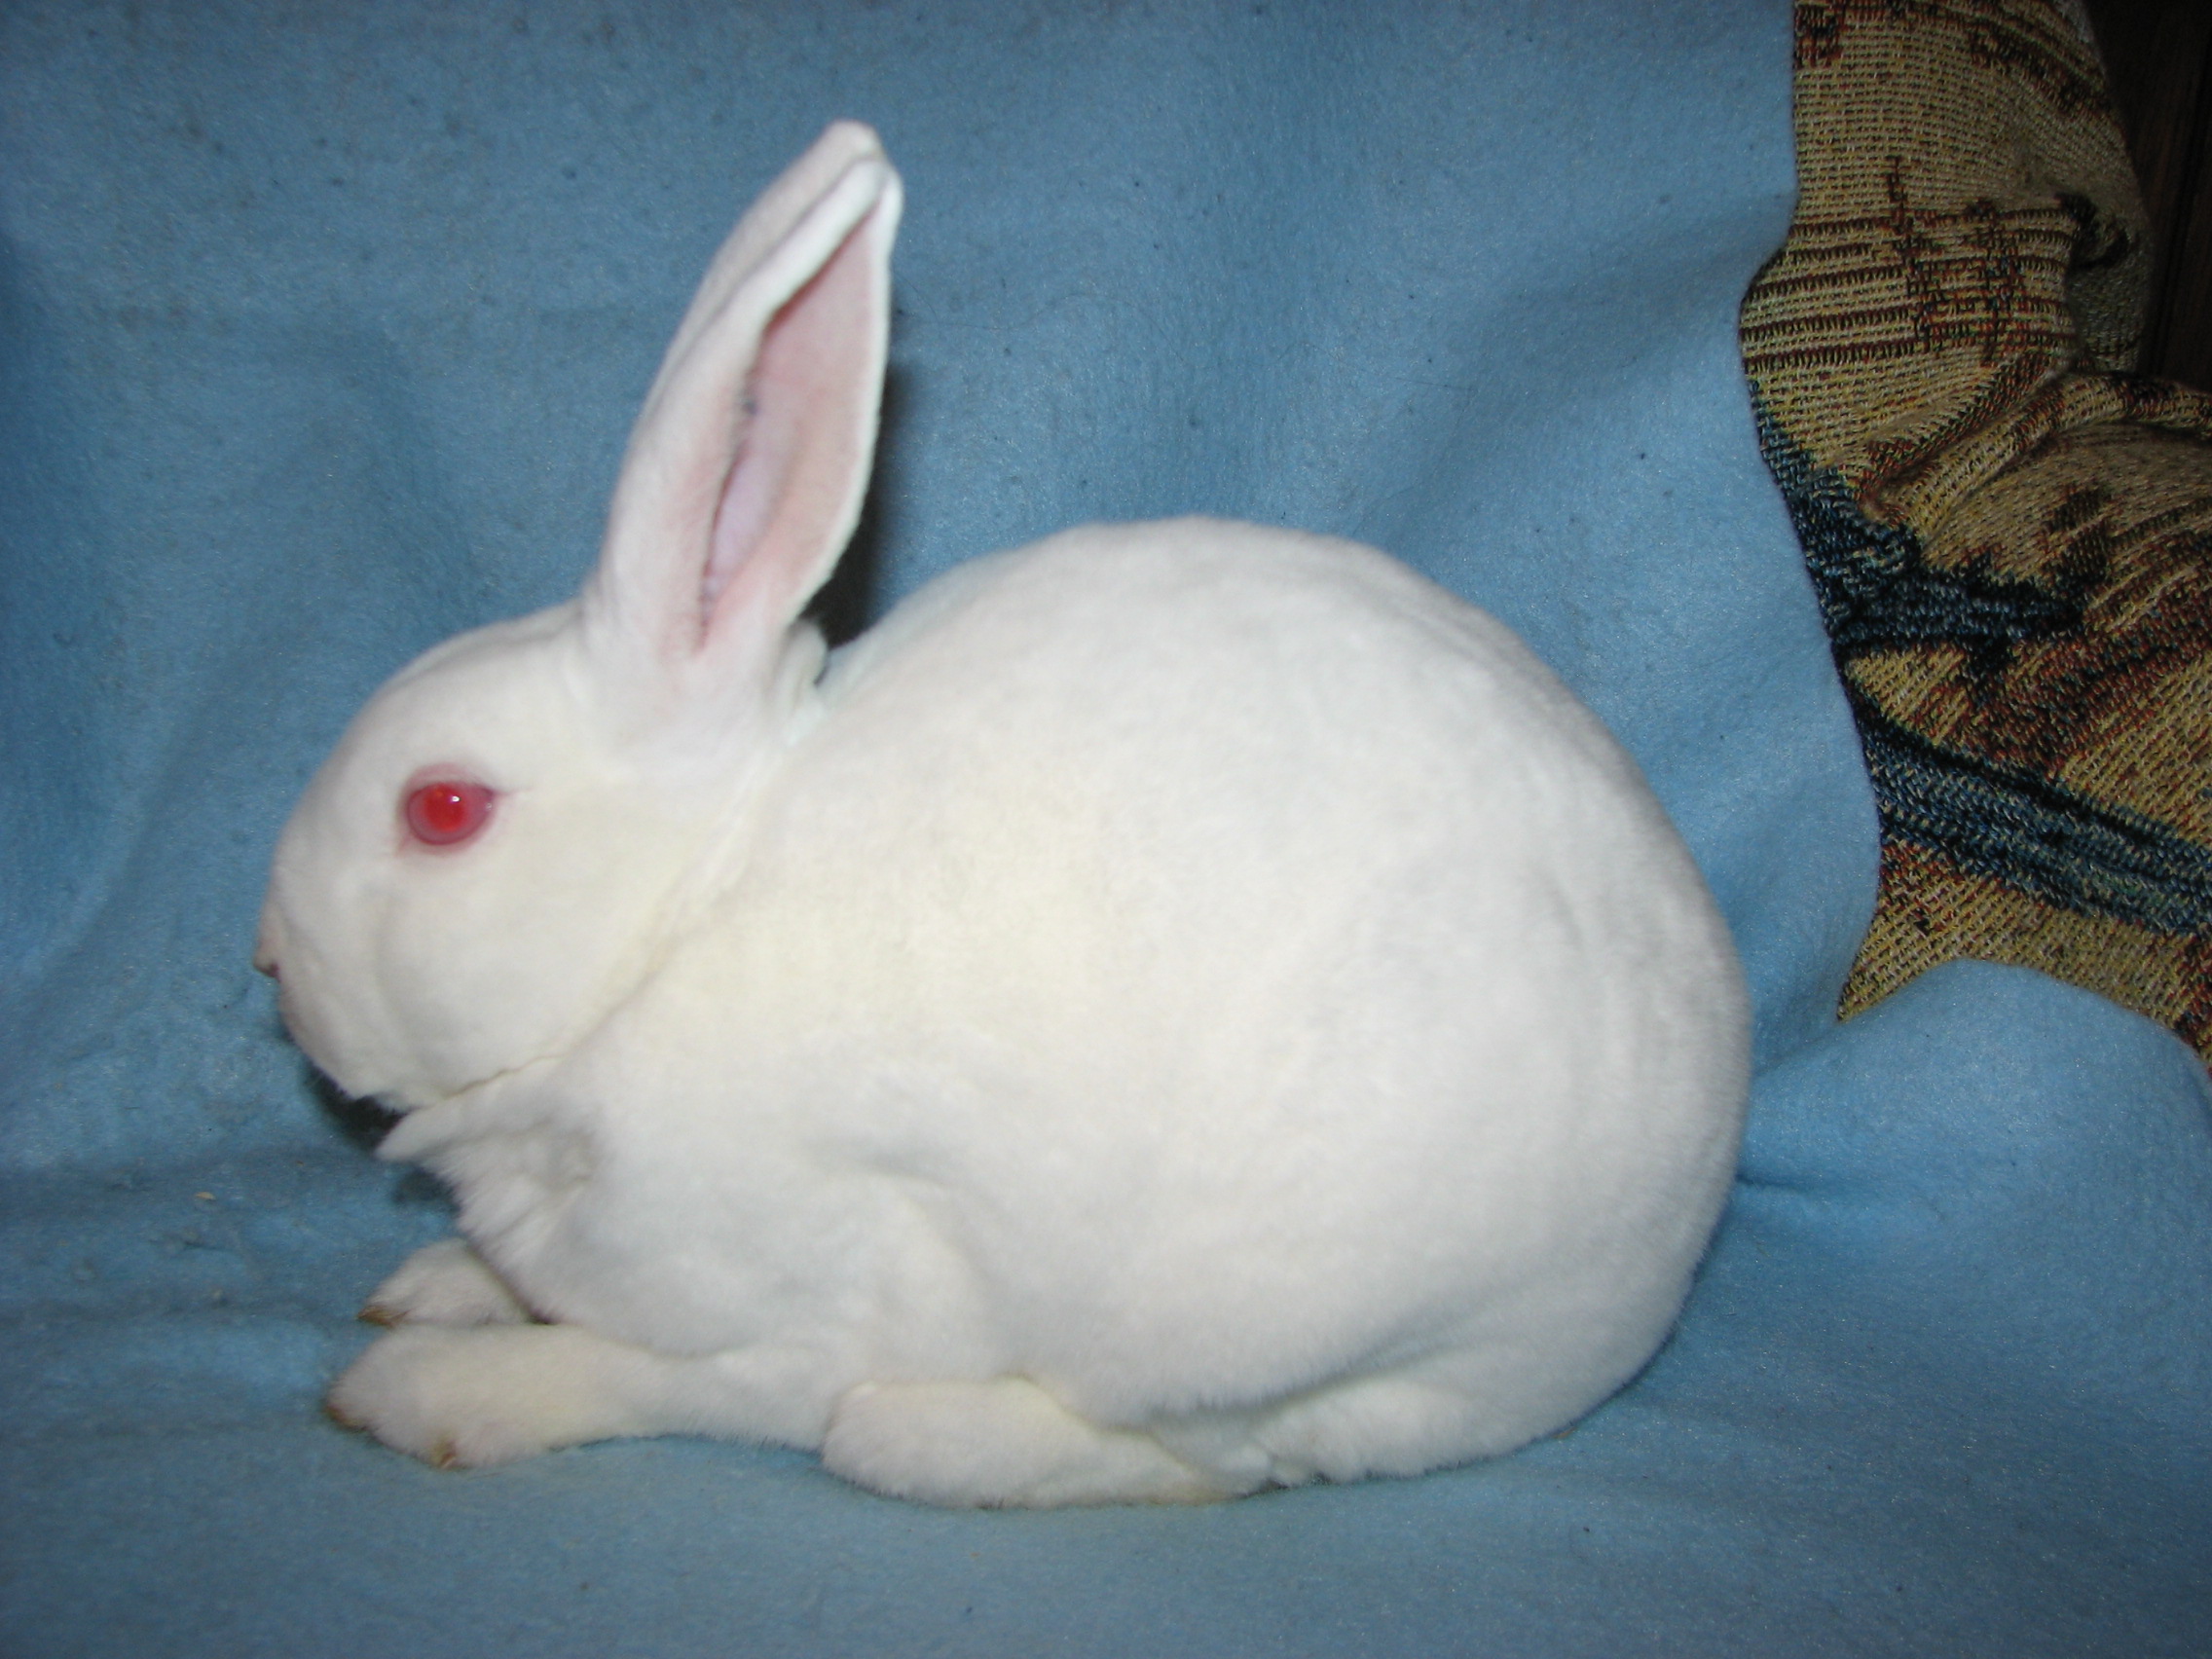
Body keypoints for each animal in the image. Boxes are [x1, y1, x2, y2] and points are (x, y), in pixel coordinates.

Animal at [256, 120, 1751, 1508]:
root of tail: (1673, 1245)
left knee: (1216, 1459)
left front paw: (422, 1386)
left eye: (442, 809)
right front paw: (441, 1280)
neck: (664, 930)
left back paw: (923, 1438)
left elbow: (641, 1374)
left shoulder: (817, 1299)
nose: (270, 962)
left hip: (1275, 1325)